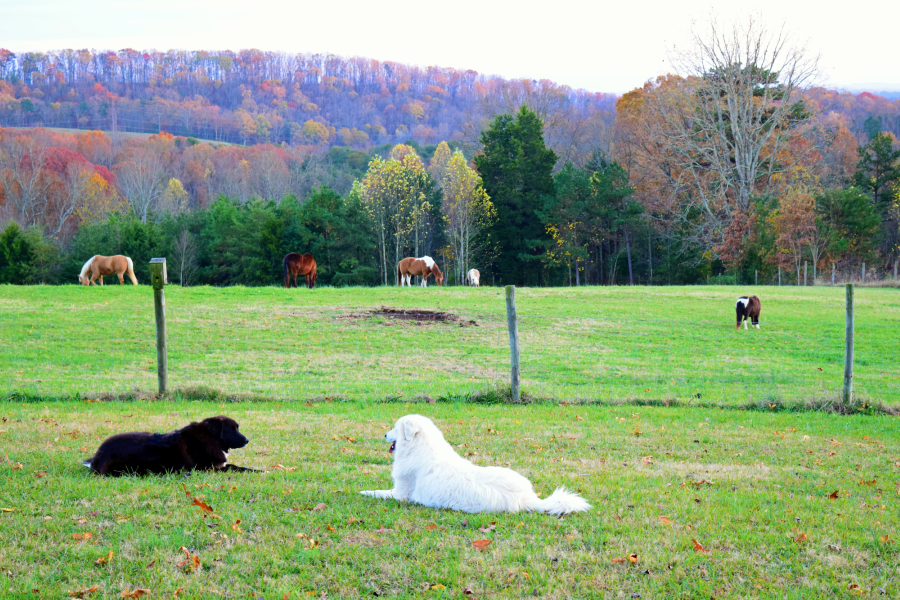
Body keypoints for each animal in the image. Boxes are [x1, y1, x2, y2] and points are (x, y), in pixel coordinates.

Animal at [83, 414, 258, 476]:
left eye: (237, 428)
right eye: (232, 430)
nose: (247, 440)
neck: (210, 438)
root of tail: (99, 455)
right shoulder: (208, 468)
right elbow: (235, 467)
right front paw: (258, 471)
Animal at [358, 412, 592, 516]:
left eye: (395, 428)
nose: (384, 434)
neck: (419, 447)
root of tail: (528, 500)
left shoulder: (401, 494)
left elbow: (377, 492)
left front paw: (362, 491)